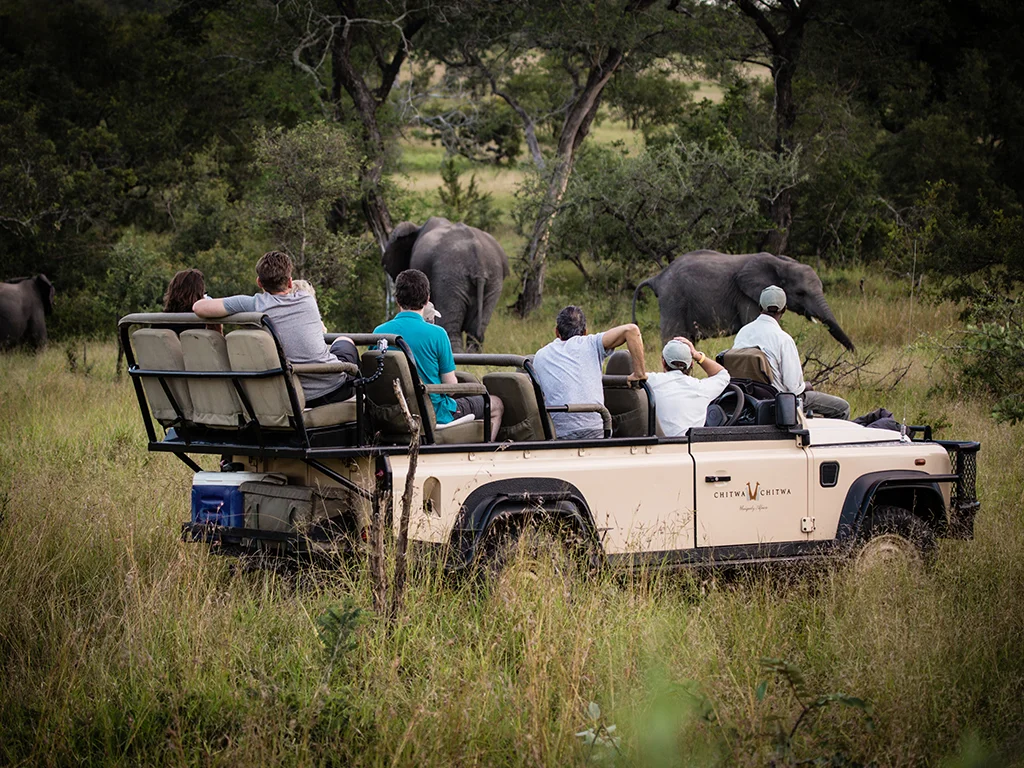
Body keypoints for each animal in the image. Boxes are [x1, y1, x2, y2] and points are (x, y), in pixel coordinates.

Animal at [631, 250, 854, 351]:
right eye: (801, 293)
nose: (853, 352)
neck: (780, 263)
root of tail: (658, 278)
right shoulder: (747, 296)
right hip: (673, 299)